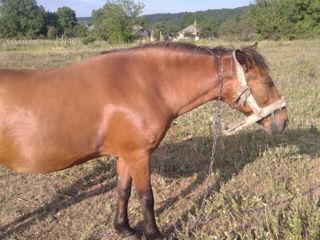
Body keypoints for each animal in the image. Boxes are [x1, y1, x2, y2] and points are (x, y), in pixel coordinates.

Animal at [0, 42, 288, 239]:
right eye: (267, 82)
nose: (283, 122)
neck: (142, 85)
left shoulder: (124, 155)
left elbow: (123, 191)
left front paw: (124, 229)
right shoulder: (139, 155)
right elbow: (146, 196)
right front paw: (154, 233)